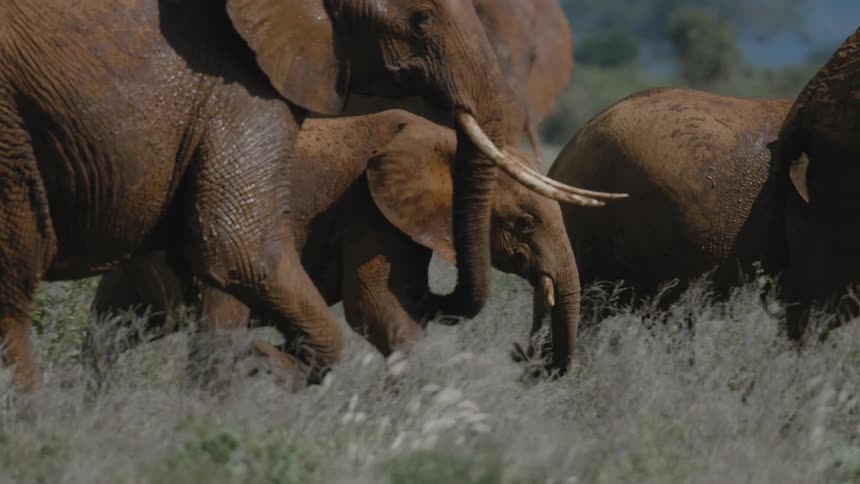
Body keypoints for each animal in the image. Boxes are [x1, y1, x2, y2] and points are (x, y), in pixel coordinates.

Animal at [93, 109, 586, 371]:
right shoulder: (366, 211)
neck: (440, 139)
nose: (521, 352)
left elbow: (402, 303)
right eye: (525, 223)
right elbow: (373, 307)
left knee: (113, 327)